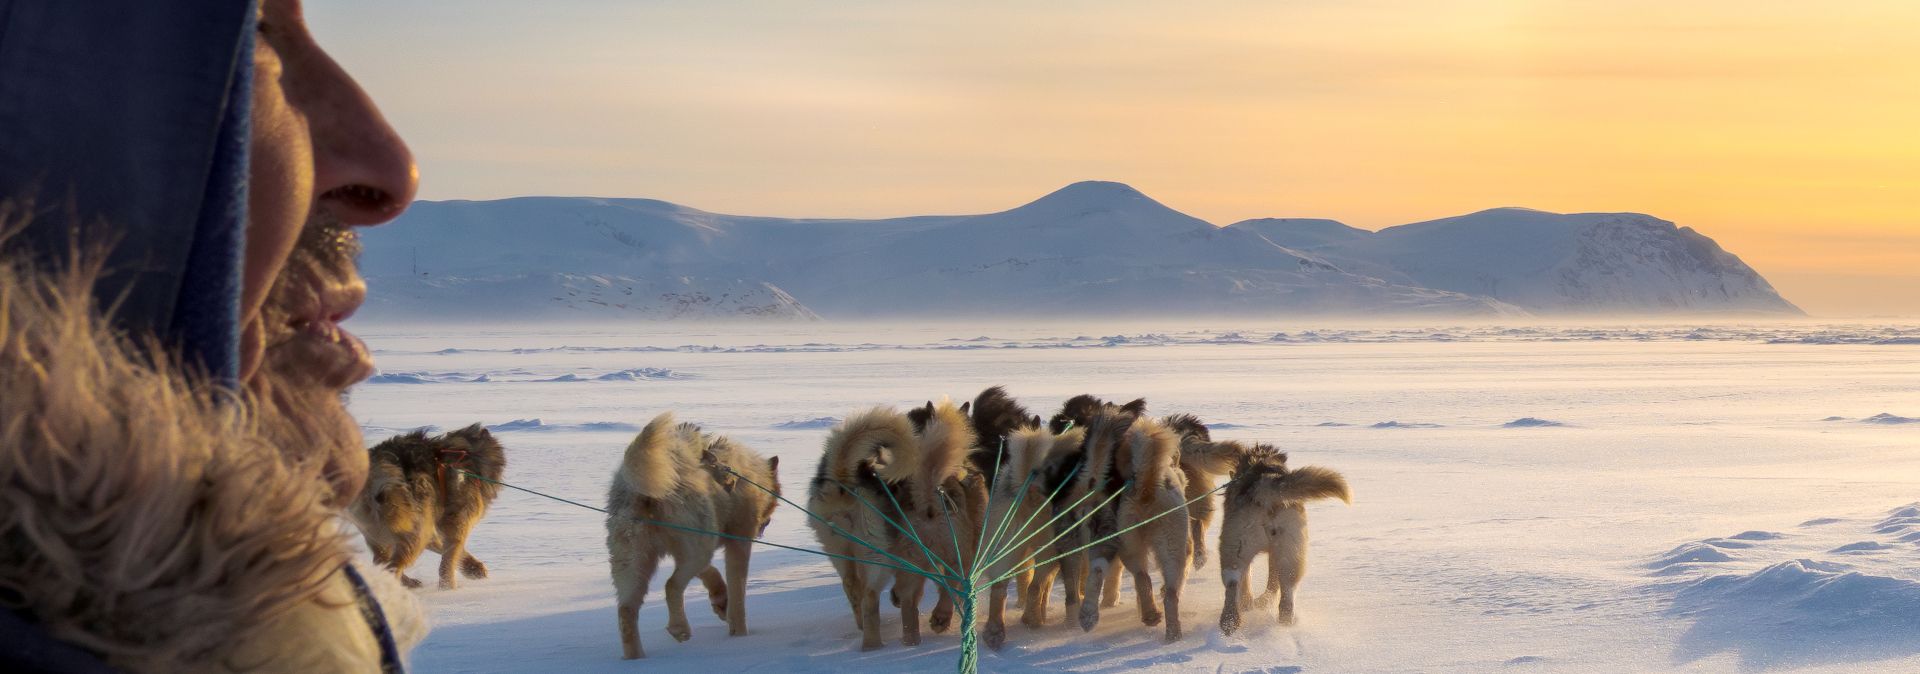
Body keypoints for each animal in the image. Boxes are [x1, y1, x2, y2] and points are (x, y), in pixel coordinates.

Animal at [353, 428, 503, 591]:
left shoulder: (432, 525)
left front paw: (473, 568)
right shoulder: (456, 522)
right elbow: (450, 556)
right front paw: (448, 588)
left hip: (381, 533)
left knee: (382, 561)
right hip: (414, 532)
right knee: (393, 566)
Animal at [602, 414, 775, 664]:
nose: (765, 524)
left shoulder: (691, 549)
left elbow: (711, 574)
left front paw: (721, 601)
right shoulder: (737, 543)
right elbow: (738, 595)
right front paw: (740, 634)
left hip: (635, 562)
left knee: (626, 609)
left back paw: (637, 660)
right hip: (697, 546)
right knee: (672, 585)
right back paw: (679, 628)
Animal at [1213, 445, 1351, 637]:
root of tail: (1264, 483)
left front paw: (1248, 604)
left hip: (1237, 549)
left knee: (1234, 585)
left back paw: (1231, 621)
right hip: (1289, 555)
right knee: (1284, 595)